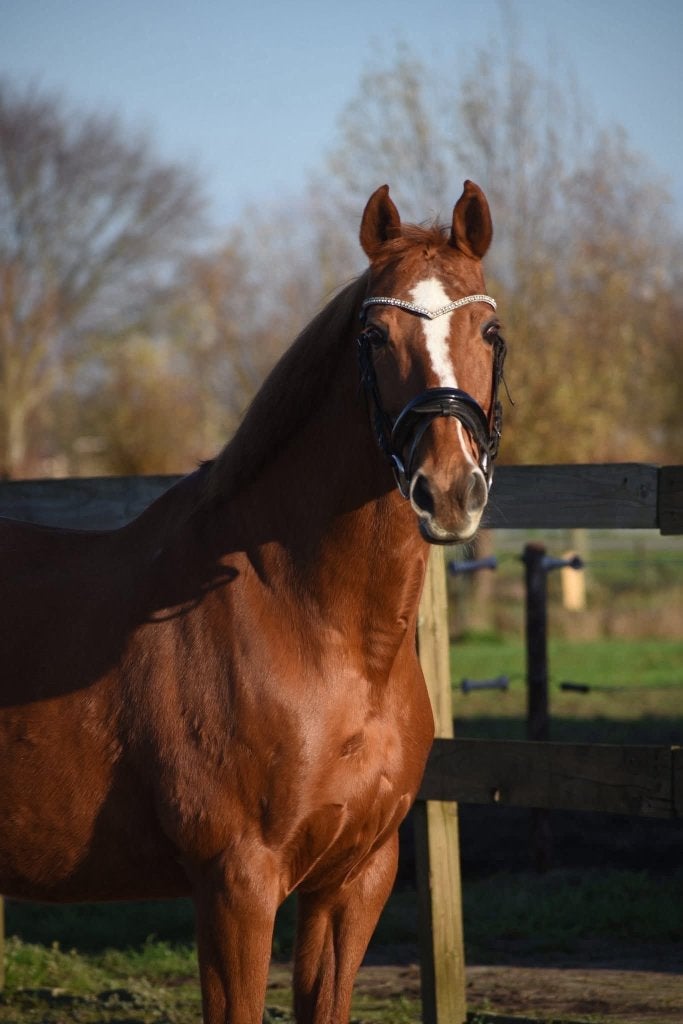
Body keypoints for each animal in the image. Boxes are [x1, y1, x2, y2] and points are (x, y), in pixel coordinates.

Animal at [0, 181, 507, 1024]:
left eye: (491, 330)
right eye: (373, 333)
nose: (447, 491)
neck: (315, 627)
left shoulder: (352, 881)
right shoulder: (236, 884)